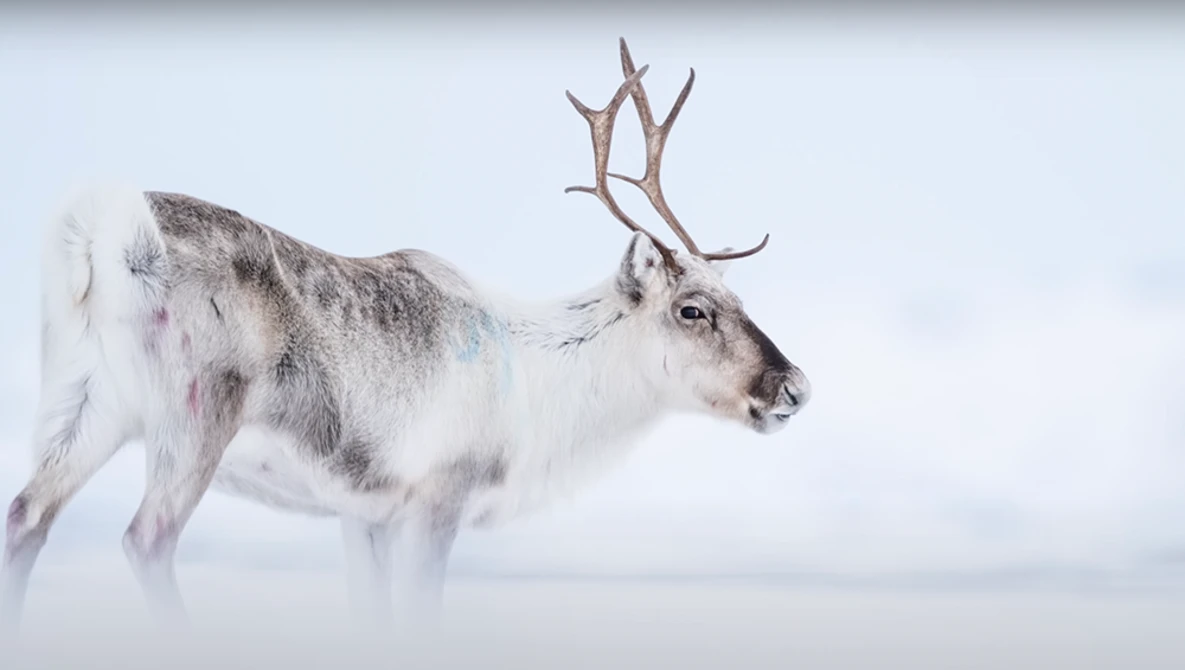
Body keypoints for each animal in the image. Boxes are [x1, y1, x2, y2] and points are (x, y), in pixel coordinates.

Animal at [0, 38, 810, 634]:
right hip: (195, 415)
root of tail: (99, 237)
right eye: (692, 309)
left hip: (84, 404)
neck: (543, 391)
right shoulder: (438, 498)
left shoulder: (366, 515)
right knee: (145, 540)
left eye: (738, 297)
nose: (795, 387)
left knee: (24, 519)